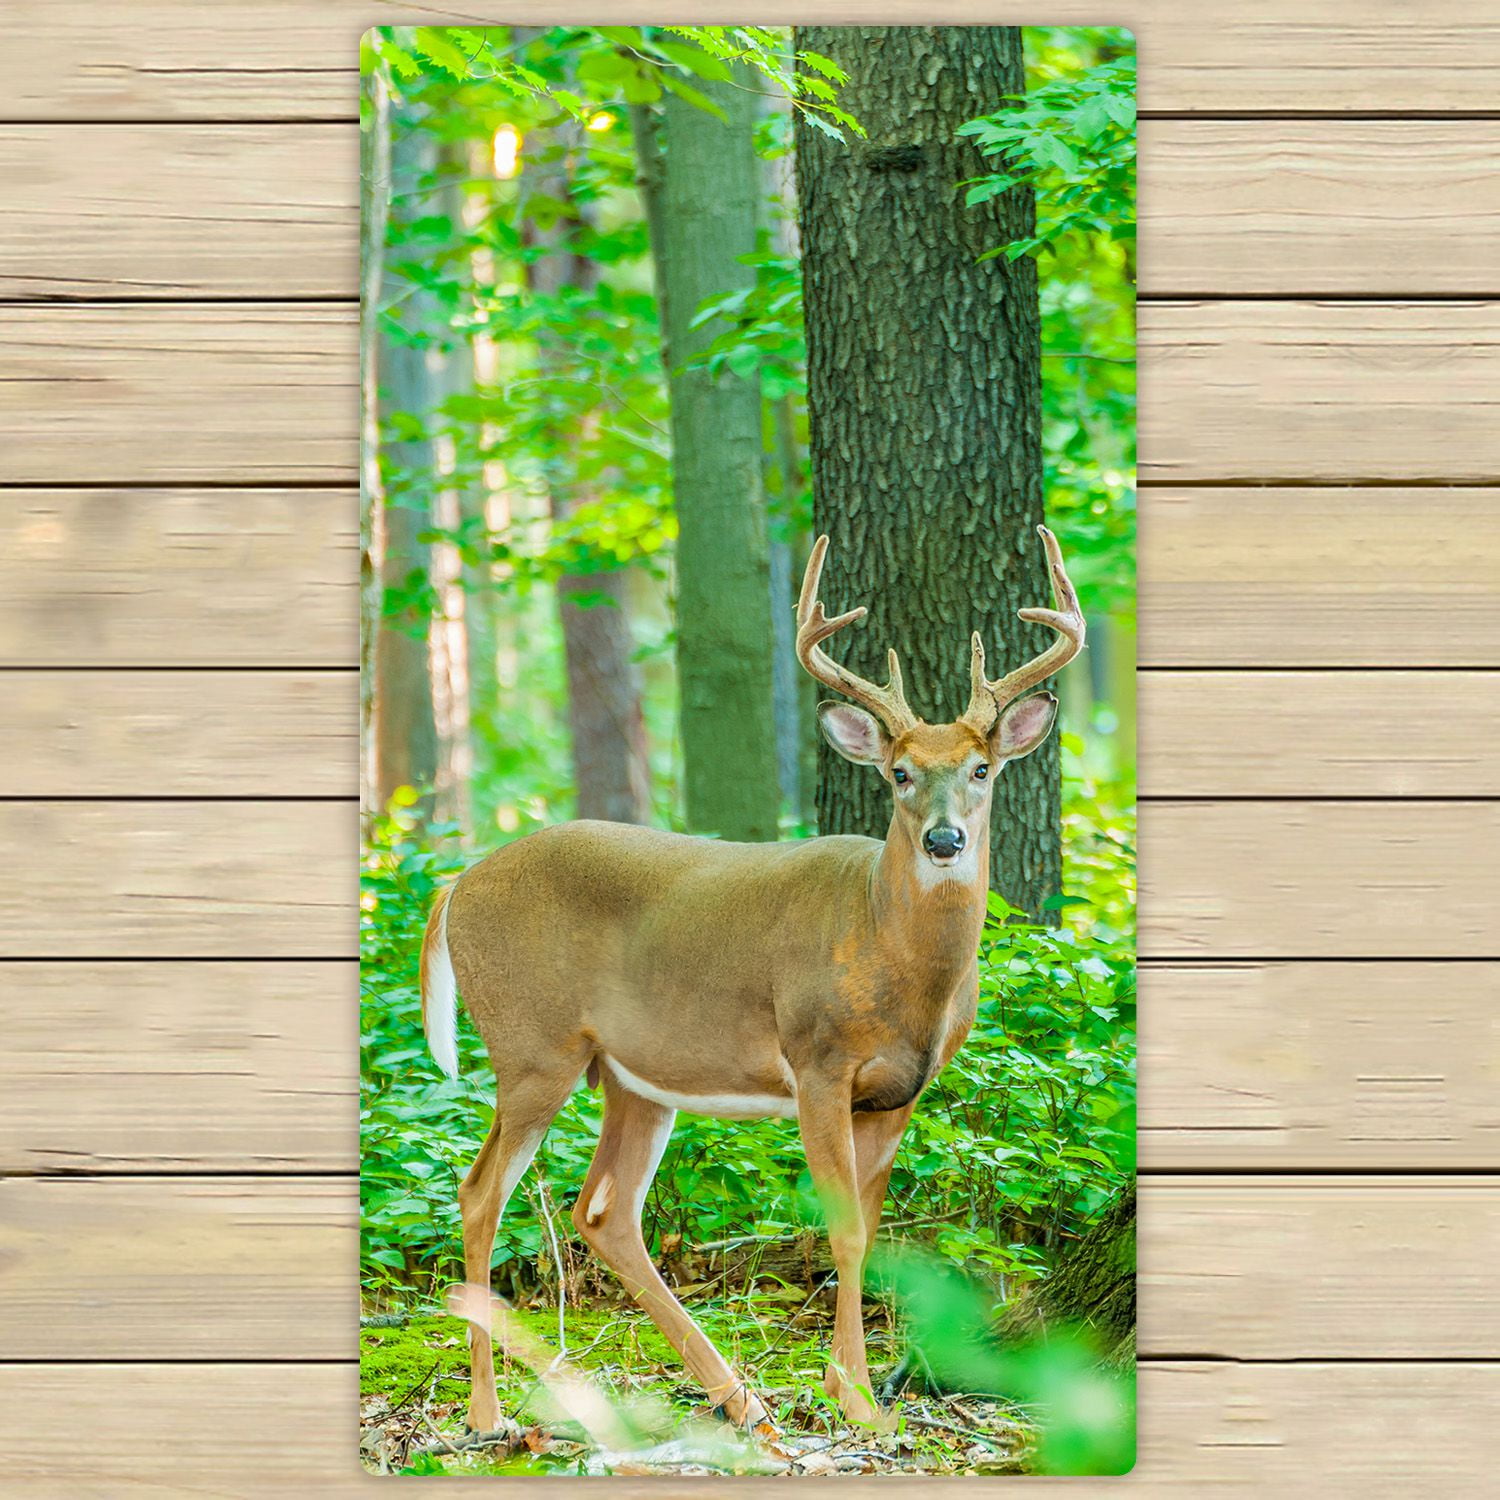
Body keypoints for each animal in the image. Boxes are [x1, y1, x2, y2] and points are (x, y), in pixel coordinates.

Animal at [419, 525, 1085, 1437]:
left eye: (982, 769)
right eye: (900, 773)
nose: (945, 840)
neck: (895, 960)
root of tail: (455, 886)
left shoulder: (900, 1090)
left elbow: (871, 1230)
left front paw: (844, 1387)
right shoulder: (818, 1062)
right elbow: (844, 1230)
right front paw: (862, 1402)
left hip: (633, 1076)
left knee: (605, 1212)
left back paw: (740, 1398)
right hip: (531, 1045)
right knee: (480, 1191)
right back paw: (488, 1411)